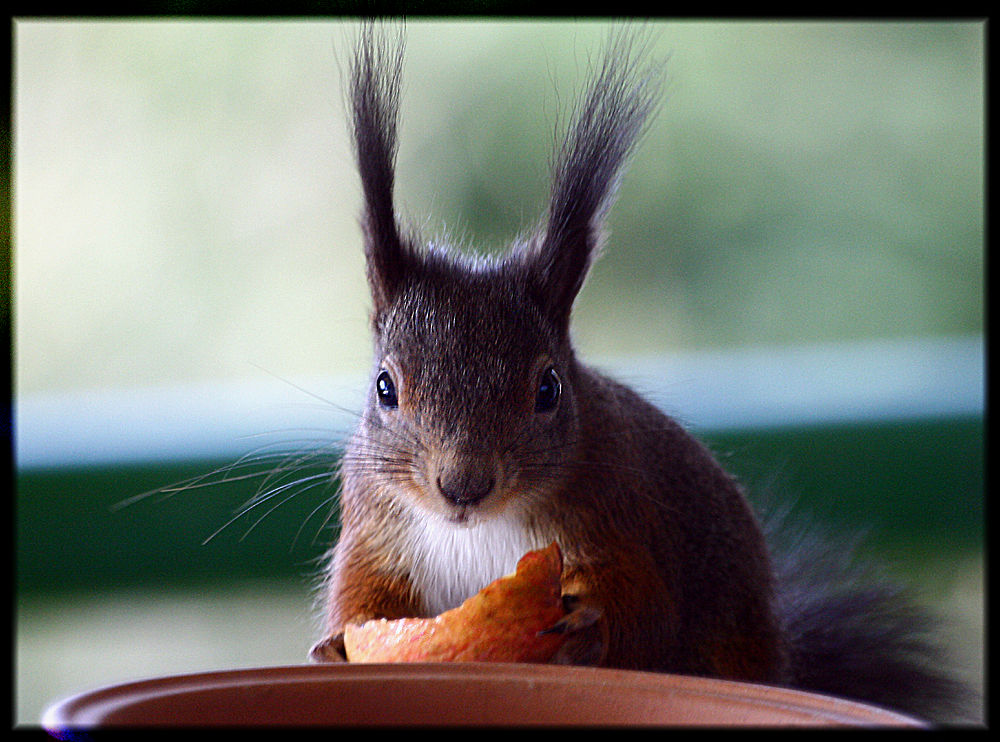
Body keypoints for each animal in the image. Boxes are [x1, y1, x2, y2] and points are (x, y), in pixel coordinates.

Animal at [310, 24, 968, 728]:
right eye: (385, 387)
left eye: (548, 389)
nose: (464, 487)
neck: (482, 528)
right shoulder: (376, 529)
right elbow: (361, 597)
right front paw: (333, 647)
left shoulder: (619, 512)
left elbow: (644, 611)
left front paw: (591, 625)